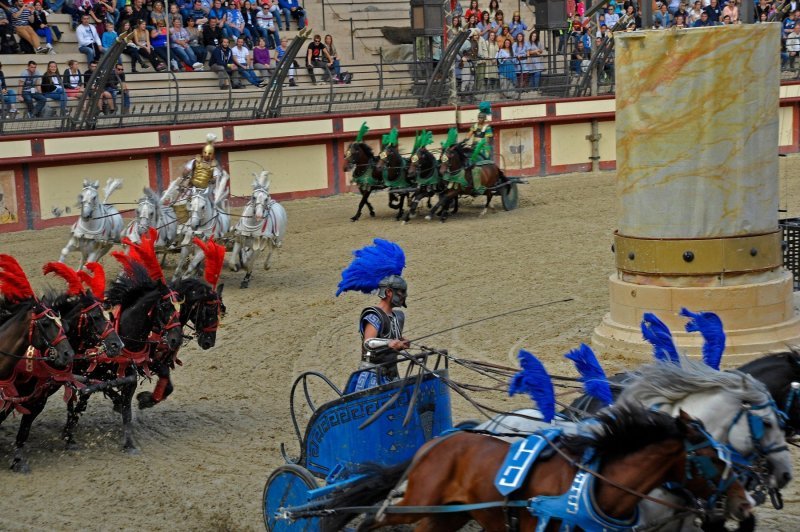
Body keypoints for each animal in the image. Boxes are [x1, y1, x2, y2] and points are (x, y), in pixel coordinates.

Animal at [63, 262, 182, 454]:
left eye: (178, 307)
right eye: (165, 306)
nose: (176, 338)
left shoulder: (132, 375)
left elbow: (128, 410)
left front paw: (130, 442)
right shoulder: (93, 376)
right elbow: (84, 400)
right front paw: (68, 436)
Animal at [134, 278, 222, 412]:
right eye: (208, 311)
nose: (209, 342)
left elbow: (169, 386)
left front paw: (148, 399)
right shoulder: (147, 360)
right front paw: (146, 399)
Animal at [356, 406, 752, 528]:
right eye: (713, 458)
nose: (745, 503)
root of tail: (438, 440)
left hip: (446, 517)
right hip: (419, 502)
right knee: (373, 519)